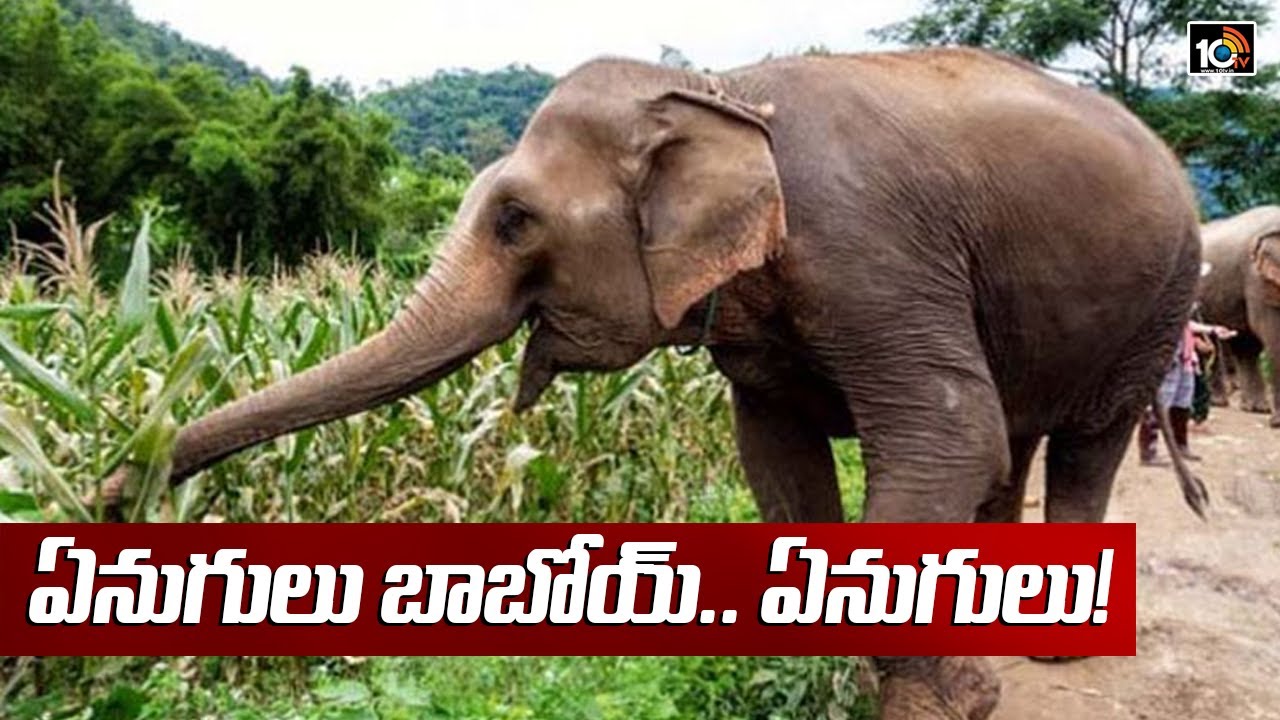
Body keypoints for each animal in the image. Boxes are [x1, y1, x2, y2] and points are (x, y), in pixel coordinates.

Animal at [104, 48, 1202, 719]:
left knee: (1080, 441)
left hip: (1159, 302)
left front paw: (947, 701)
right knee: (1012, 444)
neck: (717, 89)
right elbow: (778, 461)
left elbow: (944, 432)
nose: (120, 482)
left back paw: (1051, 650)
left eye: (515, 222)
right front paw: (823, 683)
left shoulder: (873, 250)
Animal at [1198, 205, 1280, 426]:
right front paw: (1277, 423)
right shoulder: (1256, 278)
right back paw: (1218, 402)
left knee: (1245, 346)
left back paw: (1255, 408)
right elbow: (1271, 331)